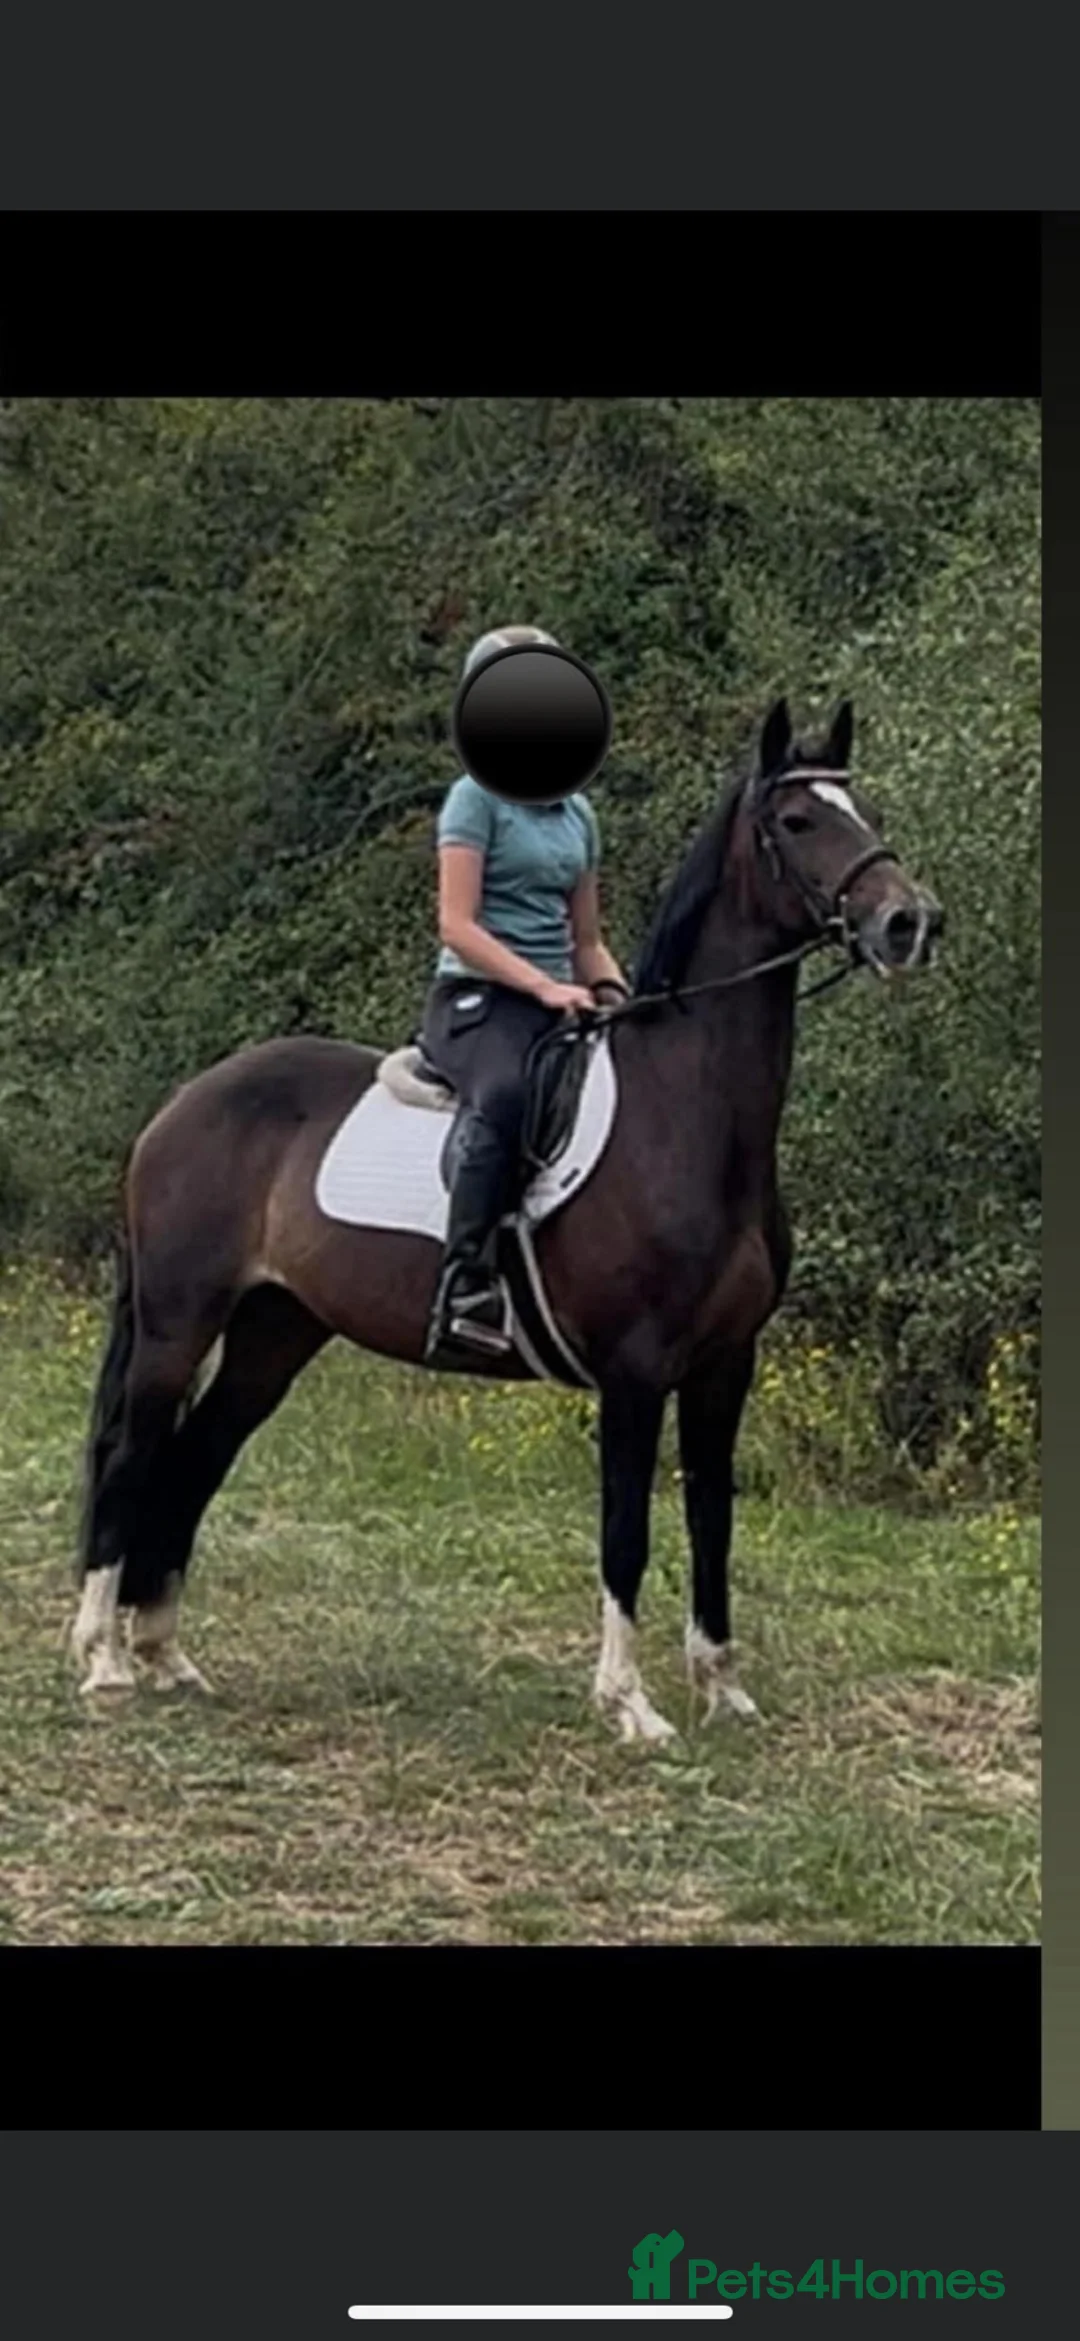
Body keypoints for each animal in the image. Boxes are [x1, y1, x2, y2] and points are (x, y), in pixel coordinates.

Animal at [71, 695, 942, 1743]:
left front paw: (723, 1690)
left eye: (862, 807)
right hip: (177, 1321)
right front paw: (631, 1704)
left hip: (275, 1330)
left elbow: (713, 1519)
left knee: (198, 1454)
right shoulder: (635, 1372)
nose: (909, 921)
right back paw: (105, 1661)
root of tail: (182, 1104)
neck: (685, 1114)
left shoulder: (726, 1364)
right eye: (799, 821)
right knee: (131, 1454)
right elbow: (625, 1531)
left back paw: (167, 1656)